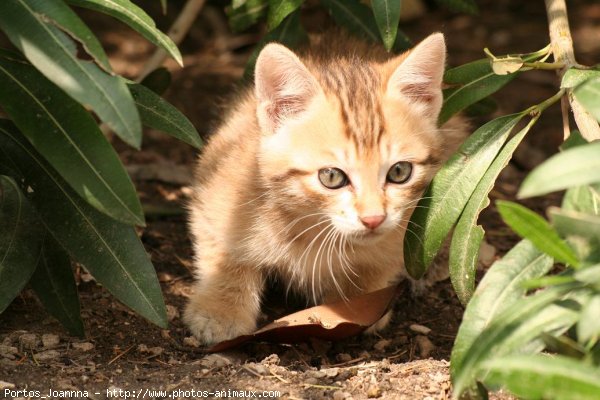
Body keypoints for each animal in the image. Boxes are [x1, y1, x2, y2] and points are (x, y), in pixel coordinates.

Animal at [183, 32, 468, 344]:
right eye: (331, 177)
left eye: (399, 172)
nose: (373, 219)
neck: (310, 226)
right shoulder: (215, 192)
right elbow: (225, 254)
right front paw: (221, 311)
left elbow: (374, 266)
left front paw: (354, 301)